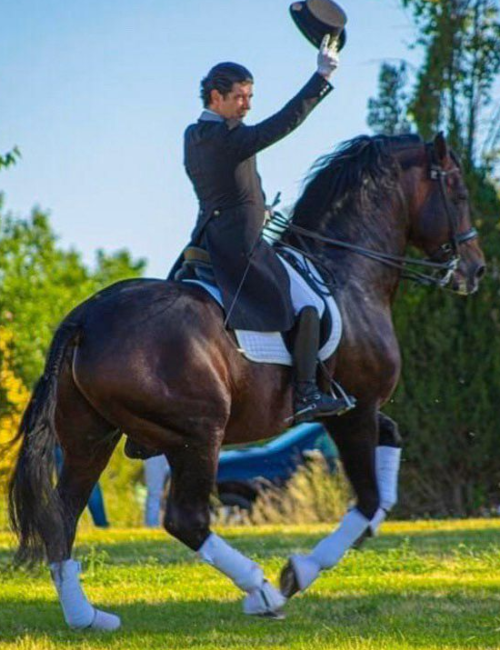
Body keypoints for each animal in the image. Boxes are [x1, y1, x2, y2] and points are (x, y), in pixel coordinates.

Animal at [6, 130, 484, 628]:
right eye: (459, 194)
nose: (476, 270)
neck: (348, 276)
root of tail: (86, 316)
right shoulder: (354, 411)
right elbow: (369, 500)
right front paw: (298, 572)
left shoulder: (357, 408)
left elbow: (385, 470)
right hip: (198, 433)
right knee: (186, 519)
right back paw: (262, 592)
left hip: (91, 437)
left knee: (64, 514)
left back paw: (87, 616)